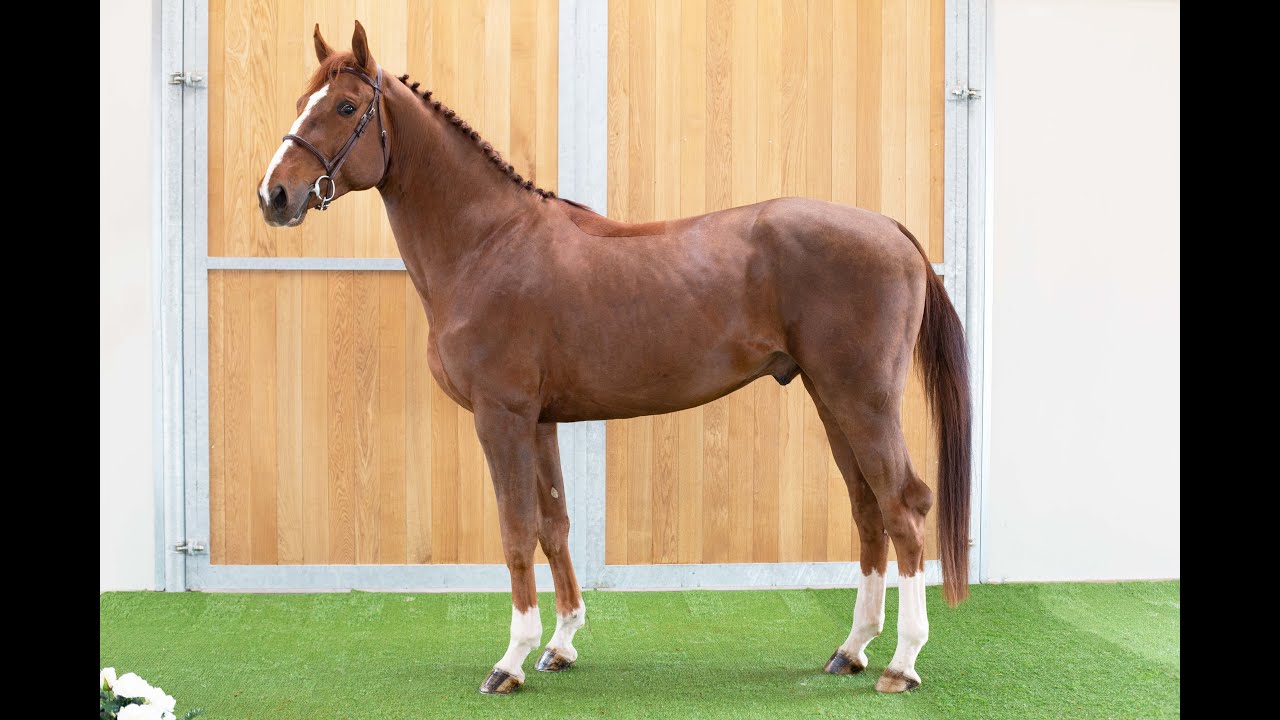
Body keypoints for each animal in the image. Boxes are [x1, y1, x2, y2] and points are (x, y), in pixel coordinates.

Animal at [258, 21, 971, 696]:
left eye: (347, 106)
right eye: (301, 101)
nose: (274, 196)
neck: (488, 243)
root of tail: (891, 228)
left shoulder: (501, 417)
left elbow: (516, 531)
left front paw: (510, 661)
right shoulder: (540, 421)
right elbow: (554, 524)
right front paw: (561, 645)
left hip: (863, 400)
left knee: (904, 505)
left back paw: (901, 663)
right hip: (830, 398)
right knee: (867, 508)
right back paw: (851, 650)